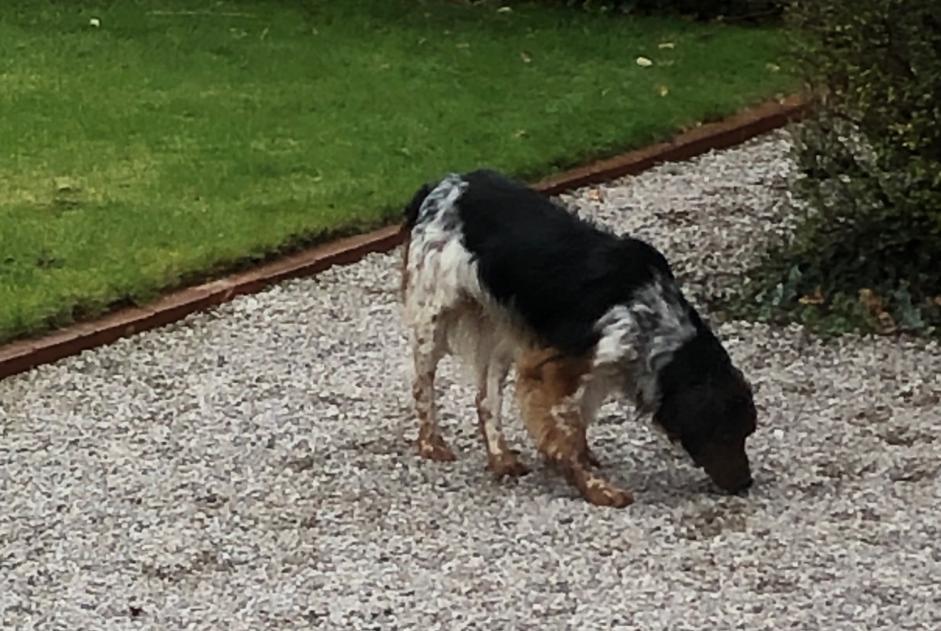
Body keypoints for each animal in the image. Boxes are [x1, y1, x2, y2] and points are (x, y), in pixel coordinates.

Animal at [396, 169, 756, 508]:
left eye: (746, 433)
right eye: (726, 432)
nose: (746, 484)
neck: (653, 312)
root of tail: (440, 185)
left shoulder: (598, 370)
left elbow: (577, 421)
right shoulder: (553, 367)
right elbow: (566, 430)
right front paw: (596, 488)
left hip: (501, 328)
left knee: (485, 399)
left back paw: (501, 459)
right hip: (433, 318)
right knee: (422, 384)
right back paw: (431, 443)